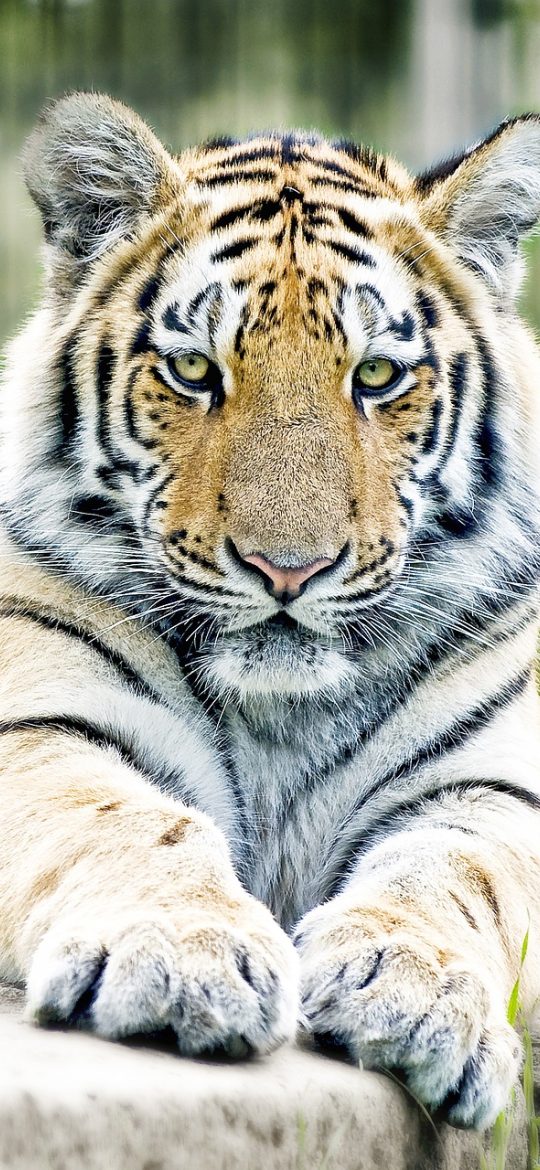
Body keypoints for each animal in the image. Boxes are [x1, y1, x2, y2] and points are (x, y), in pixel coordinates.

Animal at [0, 92, 539, 1133]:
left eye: (377, 377)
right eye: (193, 370)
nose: (287, 570)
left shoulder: (498, 785)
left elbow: (457, 873)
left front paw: (412, 989)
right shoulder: (40, 718)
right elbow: (130, 821)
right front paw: (181, 958)